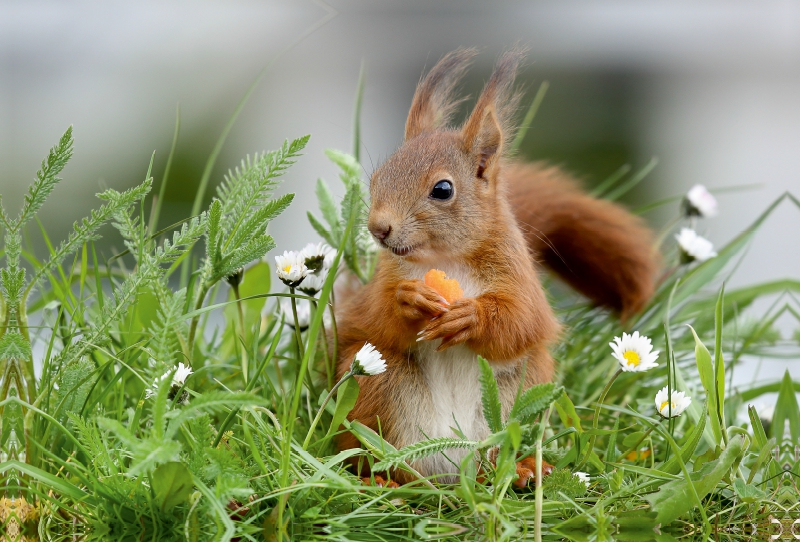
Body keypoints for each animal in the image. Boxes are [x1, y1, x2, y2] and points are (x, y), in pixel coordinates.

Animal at [332, 49, 656, 486]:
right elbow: (375, 317)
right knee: (371, 453)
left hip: (521, 389)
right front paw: (408, 299)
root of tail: (452, 470)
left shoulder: (519, 276)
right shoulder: (378, 289)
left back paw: (522, 470)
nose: (379, 228)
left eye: (443, 190)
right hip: (375, 384)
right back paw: (378, 479)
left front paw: (472, 317)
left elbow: (523, 320)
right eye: (379, 177)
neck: (444, 260)